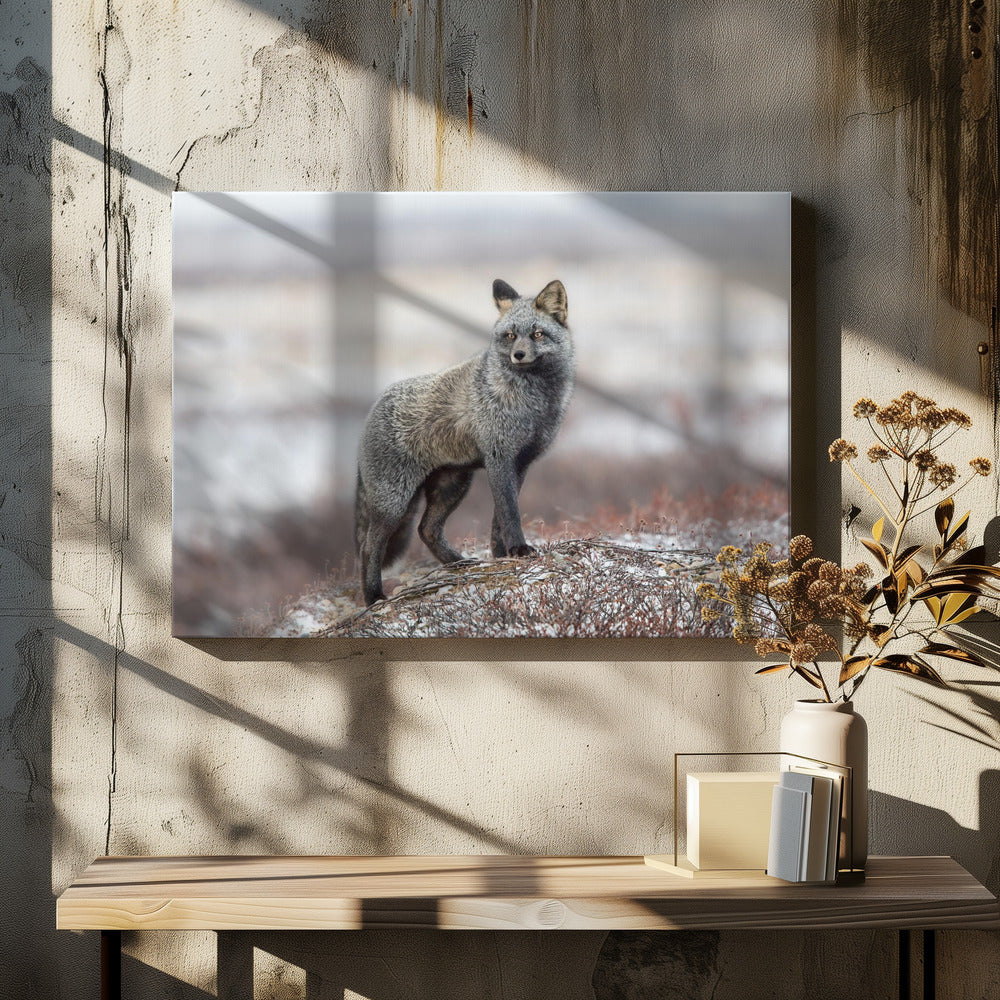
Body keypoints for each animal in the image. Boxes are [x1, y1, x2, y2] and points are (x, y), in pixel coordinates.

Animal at [354, 278, 574, 606]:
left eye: (537, 334)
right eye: (510, 336)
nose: (519, 355)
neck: (534, 404)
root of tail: (372, 408)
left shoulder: (521, 463)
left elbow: (499, 520)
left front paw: (502, 555)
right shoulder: (500, 458)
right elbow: (510, 513)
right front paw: (518, 550)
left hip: (453, 486)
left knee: (426, 530)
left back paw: (459, 564)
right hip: (395, 502)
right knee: (369, 547)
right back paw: (374, 597)